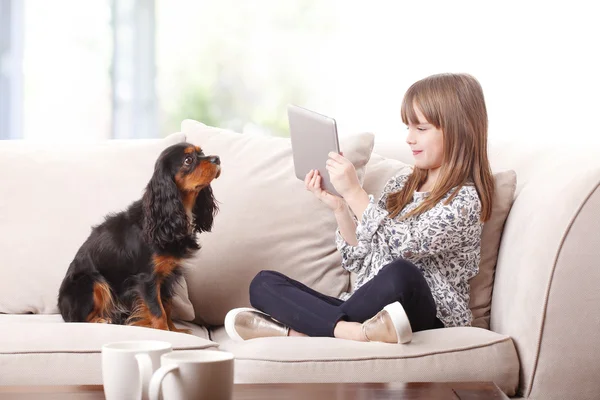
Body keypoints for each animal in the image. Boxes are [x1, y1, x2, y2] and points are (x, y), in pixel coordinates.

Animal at [56, 142, 218, 332]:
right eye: (188, 160)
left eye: (202, 152)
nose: (217, 159)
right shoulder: (147, 279)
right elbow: (158, 311)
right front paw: (164, 331)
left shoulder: (166, 276)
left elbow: (167, 306)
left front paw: (175, 331)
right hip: (91, 281)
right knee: (77, 319)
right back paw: (101, 320)